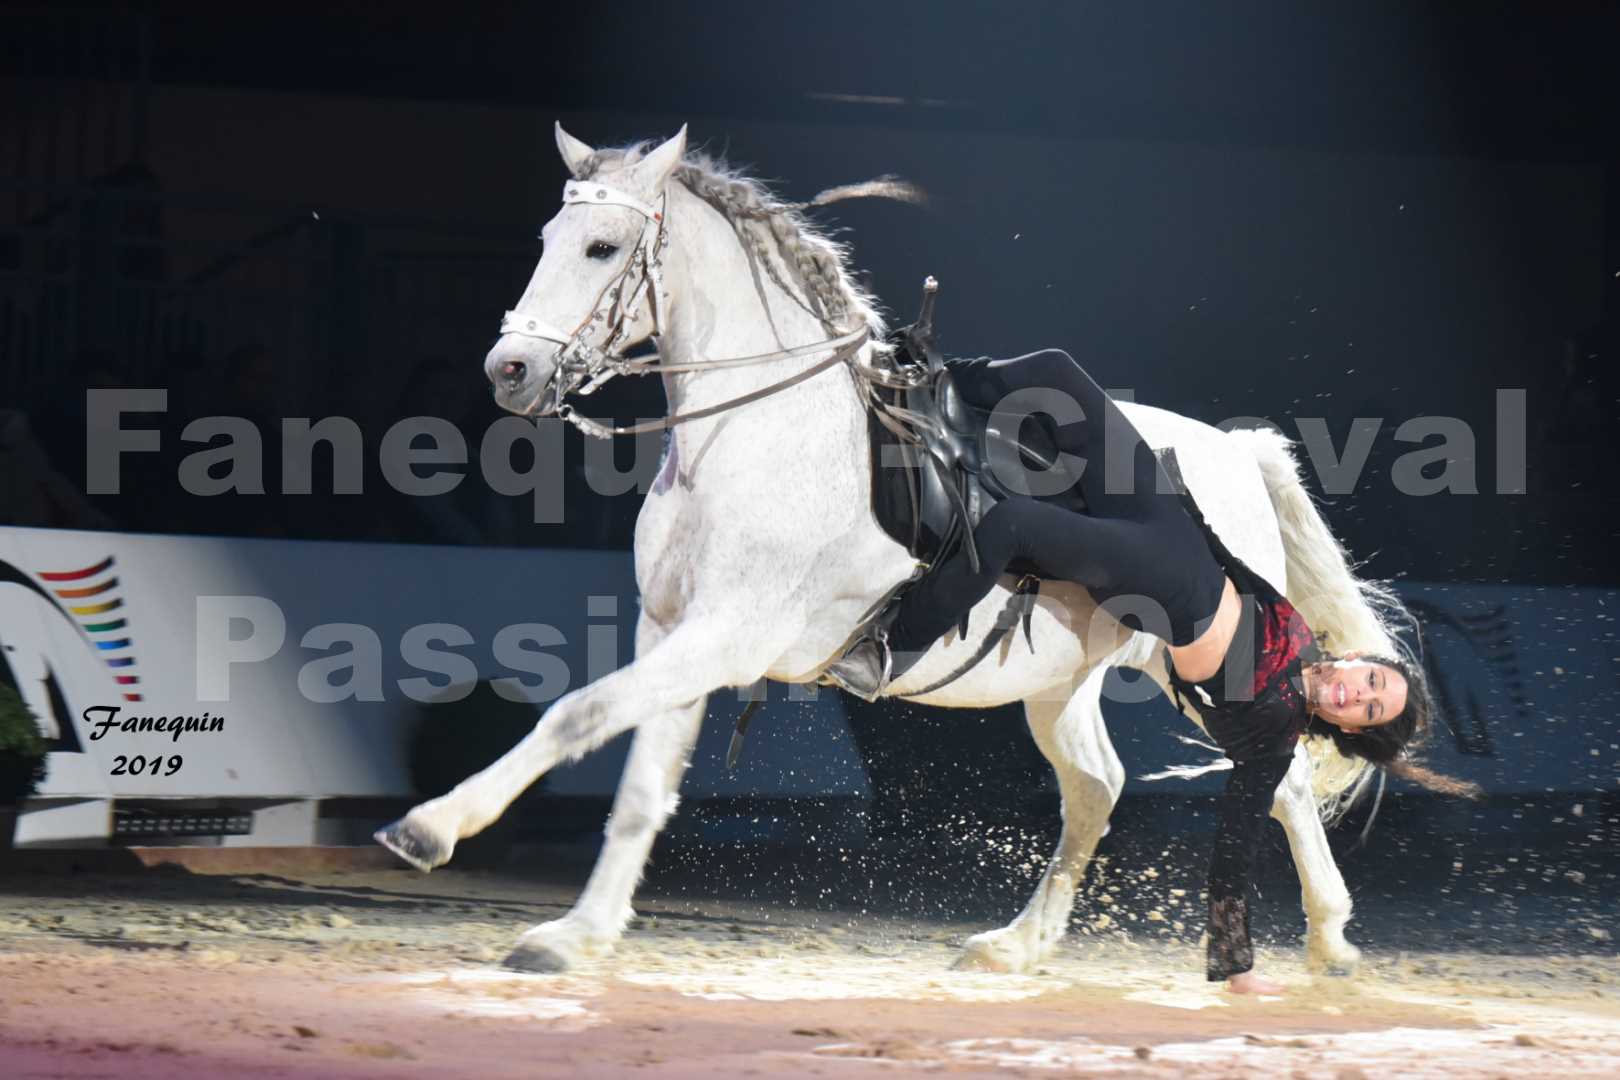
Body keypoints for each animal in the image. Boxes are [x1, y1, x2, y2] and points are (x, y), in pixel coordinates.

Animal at [382, 122, 1406, 977]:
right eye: (548, 239)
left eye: (600, 248)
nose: (510, 371)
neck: (759, 429)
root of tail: (1231, 449)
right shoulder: (671, 633)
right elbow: (639, 784)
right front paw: (576, 935)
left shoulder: (725, 636)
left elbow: (574, 718)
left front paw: (433, 828)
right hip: (1062, 679)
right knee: (1098, 786)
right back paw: (1018, 944)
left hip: (1204, 654)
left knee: (1279, 784)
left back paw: (1331, 942)